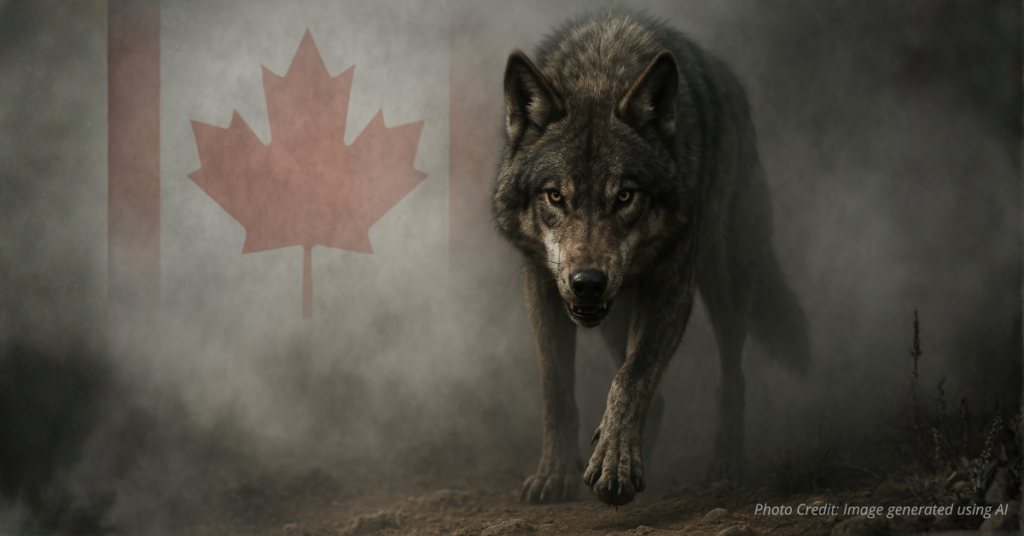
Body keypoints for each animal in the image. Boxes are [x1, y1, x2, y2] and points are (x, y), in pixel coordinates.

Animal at [492, 10, 810, 506]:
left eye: (625, 196)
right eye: (556, 196)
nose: (588, 283)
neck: (600, 72)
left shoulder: (671, 287)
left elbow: (633, 375)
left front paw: (615, 463)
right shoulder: (543, 287)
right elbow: (557, 390)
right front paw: (556, 474)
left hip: (726, 277)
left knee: (731, 376)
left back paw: (725, 464)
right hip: (615, 313)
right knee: (655, 394)